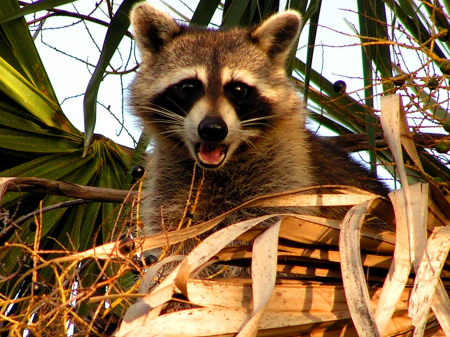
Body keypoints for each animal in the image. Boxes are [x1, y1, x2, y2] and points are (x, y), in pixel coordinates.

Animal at [129, 3, 386, 253]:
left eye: (238, 89)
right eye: (189, 87)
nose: (213, 129)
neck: (217, 170)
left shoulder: (285, 181)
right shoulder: (171, 187)